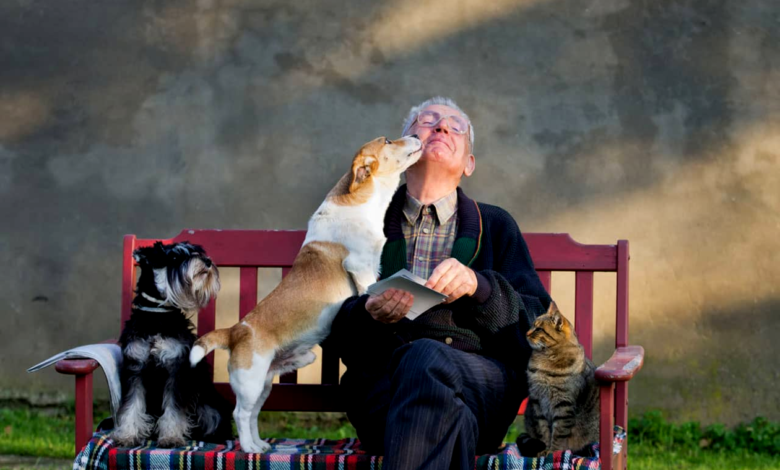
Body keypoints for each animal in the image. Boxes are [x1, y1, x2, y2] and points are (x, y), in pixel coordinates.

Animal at [111, 242, 233, 448]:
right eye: (174, 257)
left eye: (196, 251)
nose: (207, 262)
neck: (156, 317)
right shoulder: (135, 368)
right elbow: (131, 405)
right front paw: (127, 435)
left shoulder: (176, 369)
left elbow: (173, 408)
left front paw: (170, 437)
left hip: (210, 407)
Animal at [189, 135, 422, 453]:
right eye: (388, 140)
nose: (417, 136)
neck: (361, 203)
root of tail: (234, 331)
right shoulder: (361, 268)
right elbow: (367, 292)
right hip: (250, 383)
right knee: (240, 414)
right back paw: (249, 448)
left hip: (264, 384)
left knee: (253, 415)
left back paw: (260, 445)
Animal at [516, 302, 599, 457]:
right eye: (532, 326)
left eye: (539, 329)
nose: (526, 333)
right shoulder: (537, 401)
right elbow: (543, 430)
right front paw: (543, 449)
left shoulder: (563, 404)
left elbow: (559, 433)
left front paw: (553, 451)